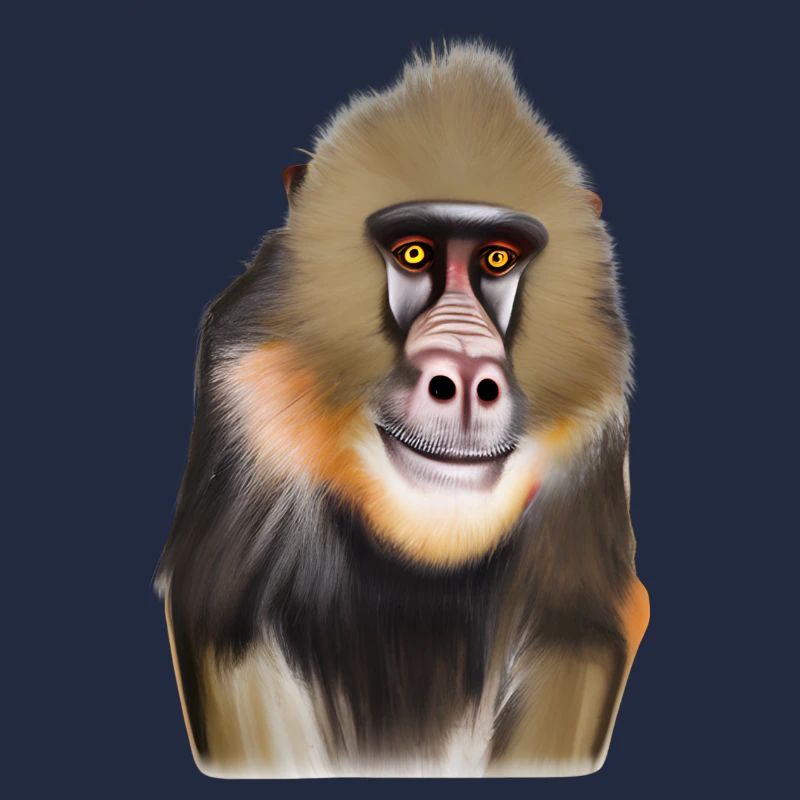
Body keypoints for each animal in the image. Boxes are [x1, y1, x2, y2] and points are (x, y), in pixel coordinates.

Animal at [155, 42, 649, 778]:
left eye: (497, 258)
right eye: (414, 251)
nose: (466, 378)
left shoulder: (591, 444)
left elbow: (575, 635)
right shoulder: (246, 397)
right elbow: (227, 626)